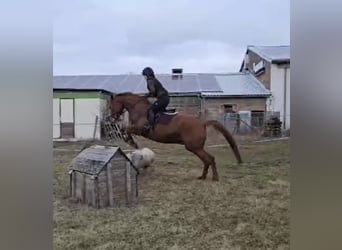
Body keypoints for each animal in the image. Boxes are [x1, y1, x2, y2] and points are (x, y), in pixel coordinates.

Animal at [108, 92, 242, 180]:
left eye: (111, 105)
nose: (112, 118)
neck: (138, 108)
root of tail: (202, 123)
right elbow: (124, 129)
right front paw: (130, 141)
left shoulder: (140, 129)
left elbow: (125, 129)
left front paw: (130, 141)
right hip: (195, 148)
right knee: (207, 160)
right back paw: (203, 176)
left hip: (194, 147)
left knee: (209, 159)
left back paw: (214, 177)